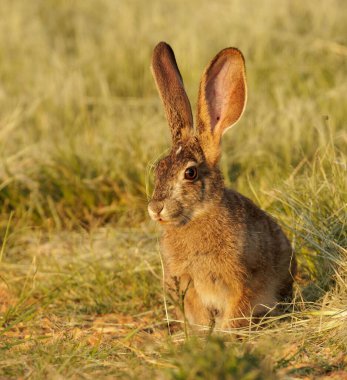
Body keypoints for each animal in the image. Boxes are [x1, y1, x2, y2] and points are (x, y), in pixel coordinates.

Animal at [148, 40, 298, 328]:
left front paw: (224, 333)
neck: (197, 216)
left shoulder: (243, 280)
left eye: (190, 173)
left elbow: (237, 309)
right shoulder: (188, 286)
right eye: (159, 168)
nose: (155, 208)